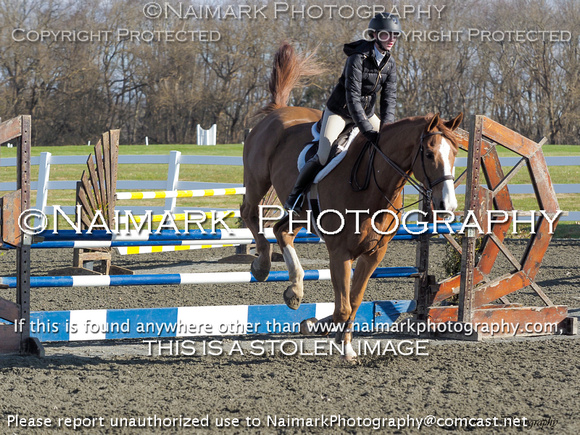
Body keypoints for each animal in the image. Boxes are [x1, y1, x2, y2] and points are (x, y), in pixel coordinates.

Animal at [240, 43, 462, 362]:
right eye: (430, 154)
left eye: (455, 153)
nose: (448, 205)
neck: (374, 185)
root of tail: (278, 112)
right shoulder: (339, 253)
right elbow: (343, 306)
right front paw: (333, 339)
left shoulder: (374, 254)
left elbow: (354, 302)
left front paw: (340, 342)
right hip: (258, 180)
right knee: (250, 214)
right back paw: (263, 265)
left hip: (301, 212)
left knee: (282, 230)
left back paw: (295, 290)